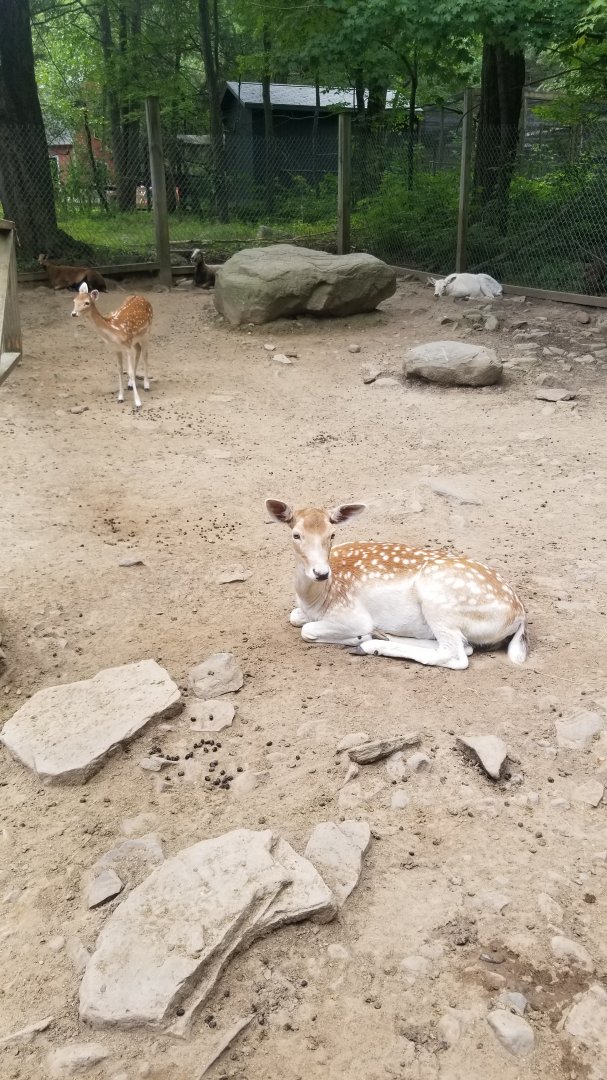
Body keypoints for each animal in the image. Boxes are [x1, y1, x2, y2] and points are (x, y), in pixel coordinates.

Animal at [265, 500, 528, 670]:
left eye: (332, 534)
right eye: (296, 534)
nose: (321, 573)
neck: (315, 599)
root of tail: (519, 615)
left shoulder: (352, 615)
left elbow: (307, 630)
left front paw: (359, 637)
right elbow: (294, 617)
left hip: (440, 602)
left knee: (456, 655)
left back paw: (370, 644)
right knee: (464, 646)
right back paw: (381, 636)